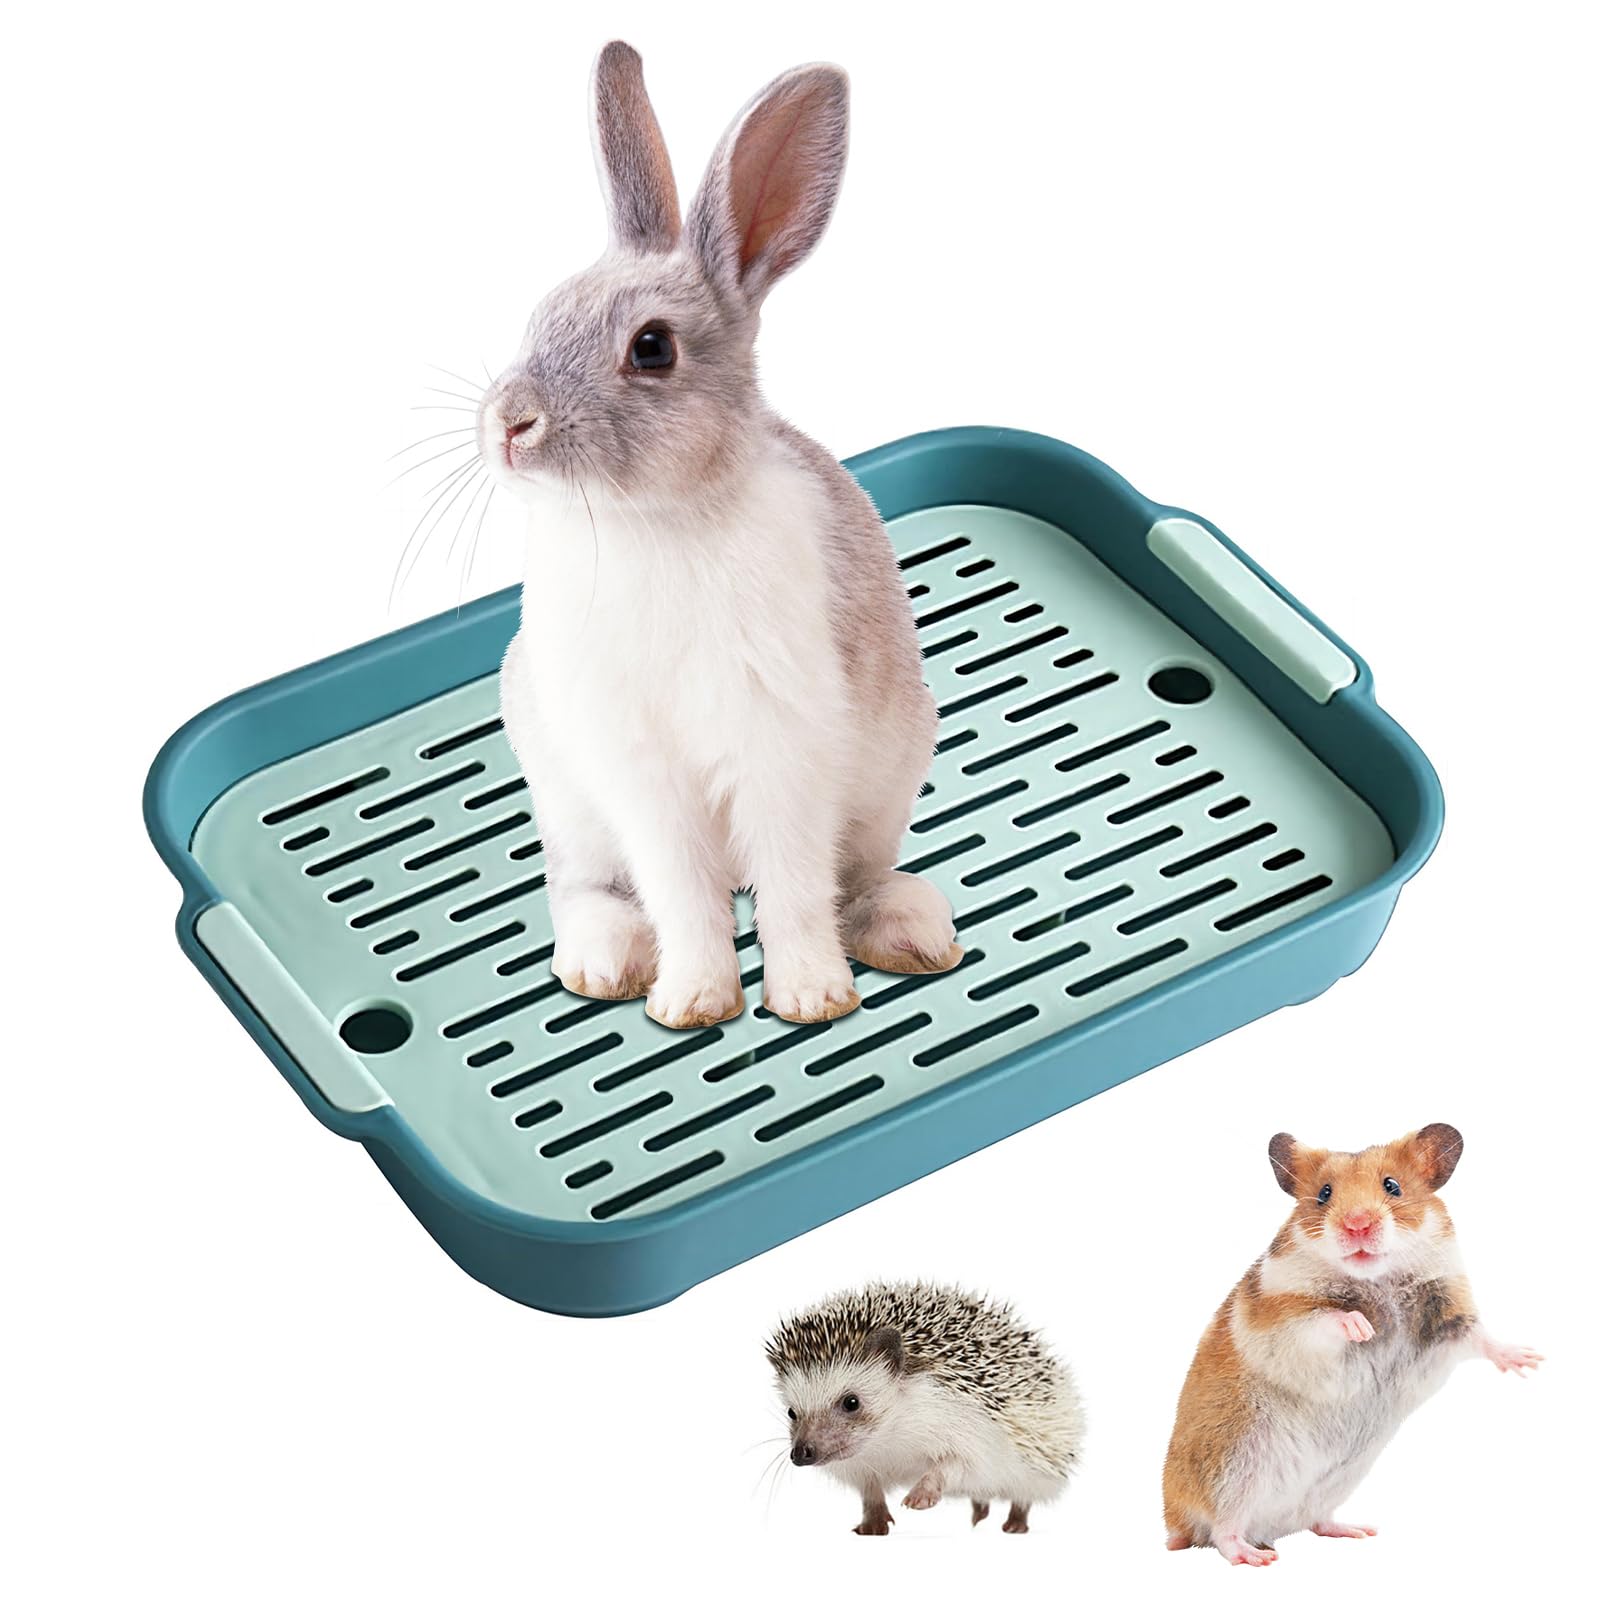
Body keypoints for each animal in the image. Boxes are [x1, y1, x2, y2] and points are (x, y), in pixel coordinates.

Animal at [476, 42, 961, 1029]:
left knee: (853, 877)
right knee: (585, 888)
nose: (510, 424)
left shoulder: (783, 749)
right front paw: (693, 1003)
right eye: (541, 313)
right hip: (568, 800)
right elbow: (682, 891)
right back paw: (604, 964)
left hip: (887, 779)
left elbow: (793, 886)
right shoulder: (640, 774)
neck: (654, 521)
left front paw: (812, 998)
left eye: (652, 348)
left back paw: (910, 934)